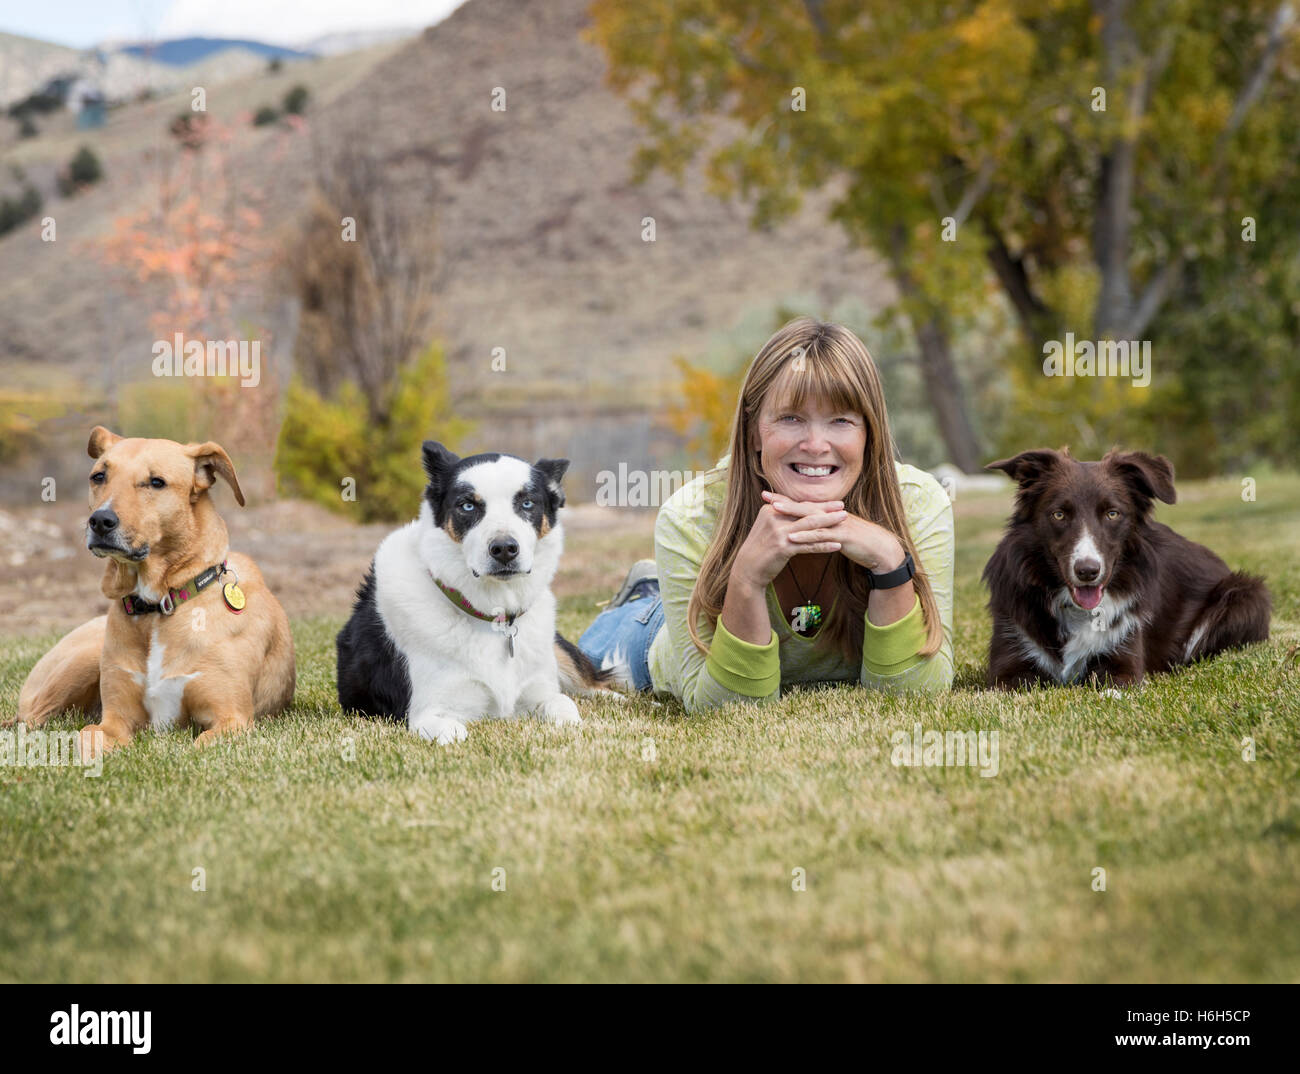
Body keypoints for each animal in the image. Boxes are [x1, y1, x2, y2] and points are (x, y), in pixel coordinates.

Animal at [10, 423, 295, 743]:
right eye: (99, 476)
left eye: (156, 482)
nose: (100, 521)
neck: (159, 605)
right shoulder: (113, 722)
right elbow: (87, 736)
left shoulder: (233, 719)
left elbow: (202, 742)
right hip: (83, 659)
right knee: (31, 721)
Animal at [340, 439, 613, 738]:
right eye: (468, 506)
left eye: (527, 503)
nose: (504, 549)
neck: (493, 616)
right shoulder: (428, 713)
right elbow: (455, 733)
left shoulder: (541, 693)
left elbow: (564, 706)